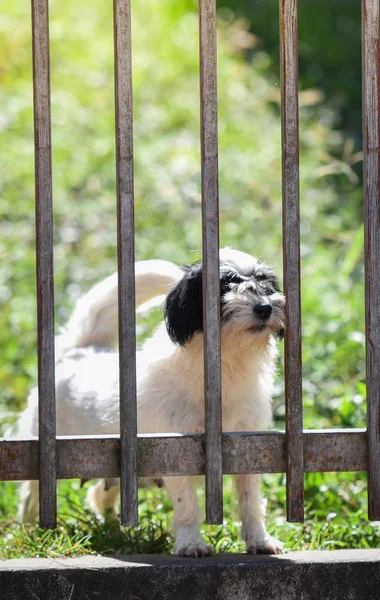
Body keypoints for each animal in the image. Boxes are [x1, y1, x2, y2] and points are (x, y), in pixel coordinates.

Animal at [17, 248, 284, 556]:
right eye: (226, 285)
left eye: (265, 283)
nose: (264, 308)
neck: (227, 363)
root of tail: (80, 351)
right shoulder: (176, 453)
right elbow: (187, 505)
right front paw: (191, 543)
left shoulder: (248, 447)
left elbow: (250, 501)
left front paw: (259, 540)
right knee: (32, 496)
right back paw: (30, 532)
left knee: (98, 494)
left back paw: (112, 531)